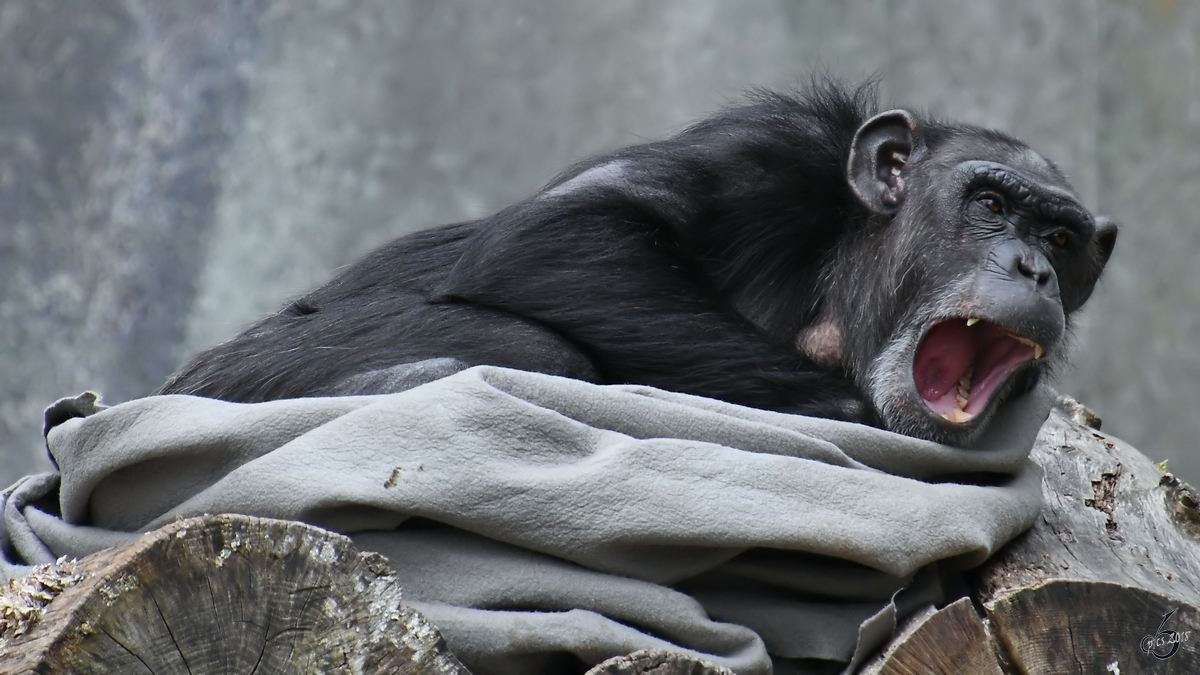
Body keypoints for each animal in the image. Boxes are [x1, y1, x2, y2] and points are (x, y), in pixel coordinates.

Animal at [159, 79, 1113, 446]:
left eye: (1061, 242)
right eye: (989, 206)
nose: (1031, 268)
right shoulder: (767, 152)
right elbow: (559, 231)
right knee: (535, 352)